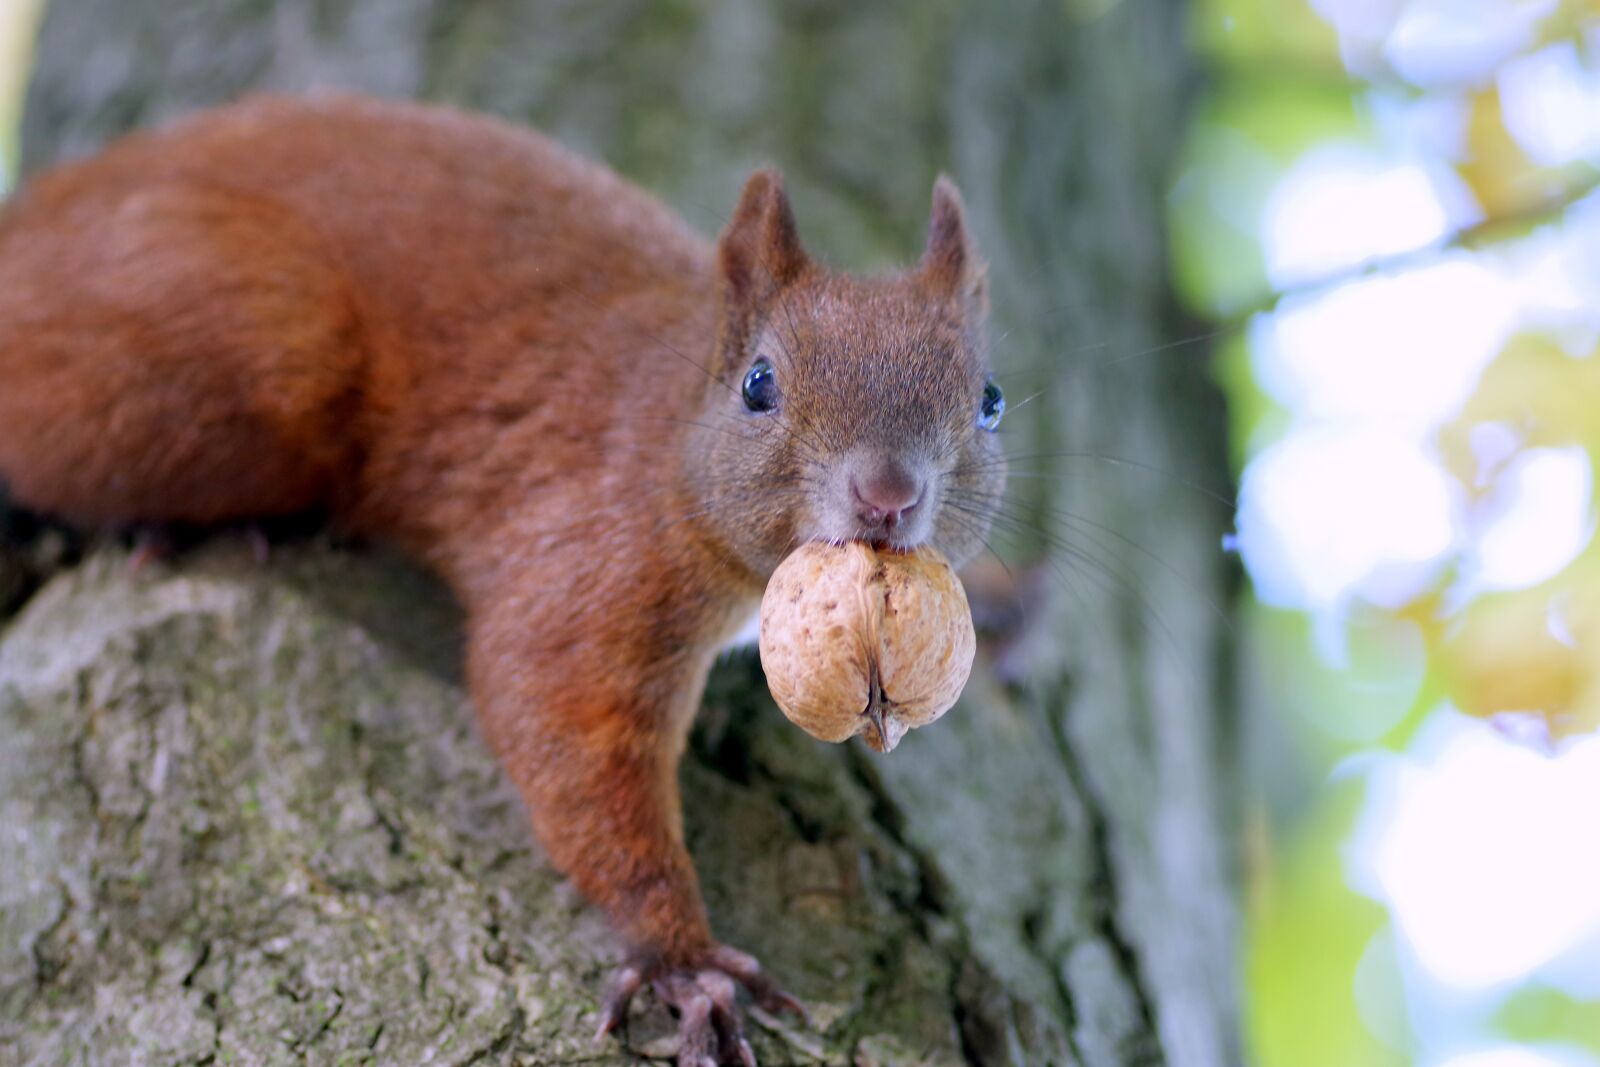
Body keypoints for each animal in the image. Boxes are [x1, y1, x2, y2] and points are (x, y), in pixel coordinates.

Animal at [0, 94, 1006, 1064]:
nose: (887, 497)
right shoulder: (592, 558)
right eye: (760, 385)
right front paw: (681, 958)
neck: (672, 428)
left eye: (991, 399)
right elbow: (558, 716)